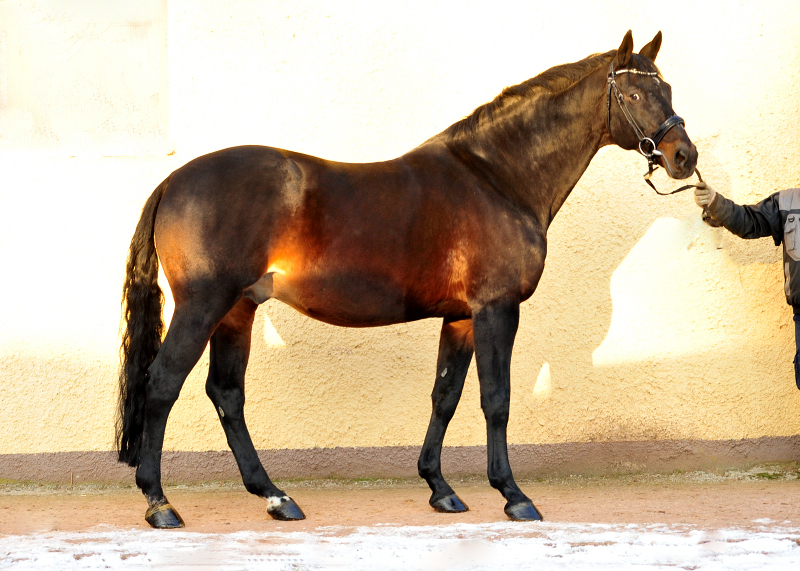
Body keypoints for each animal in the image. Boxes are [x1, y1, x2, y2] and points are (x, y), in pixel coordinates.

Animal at [115, 30, 696, 528]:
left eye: (666, 88)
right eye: (636, 92)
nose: (683, 156)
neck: (496, 178)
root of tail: (172, 180)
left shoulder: (460, 318)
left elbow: (446, 395)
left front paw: (441, 489)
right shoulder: (496, 309)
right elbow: (496, 399)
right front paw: (513, 495)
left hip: (237, 309)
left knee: (226, 393)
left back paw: (276, 497)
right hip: (204, 304)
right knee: (163, 383)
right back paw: (160, 503)